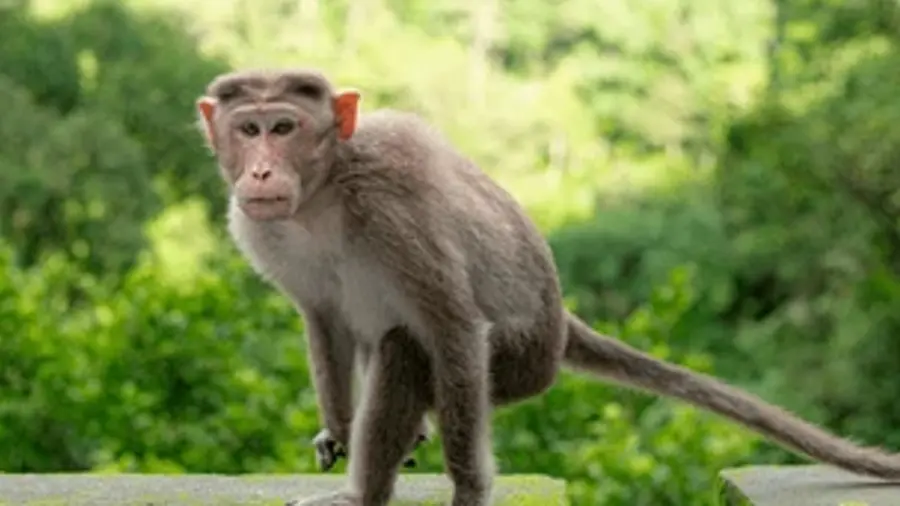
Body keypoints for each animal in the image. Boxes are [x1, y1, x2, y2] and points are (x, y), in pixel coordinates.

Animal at [195, 67, 900, 506]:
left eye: (283, 128)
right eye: (248, 128)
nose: (261, 171)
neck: (323, 196)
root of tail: (561, 320)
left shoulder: (391, 208)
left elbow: (453, 325)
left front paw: (467, 490)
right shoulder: (257, 228)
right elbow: (324, 319)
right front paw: (336, 430)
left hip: (519, 364)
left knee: (409, 347)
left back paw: (366, 490)